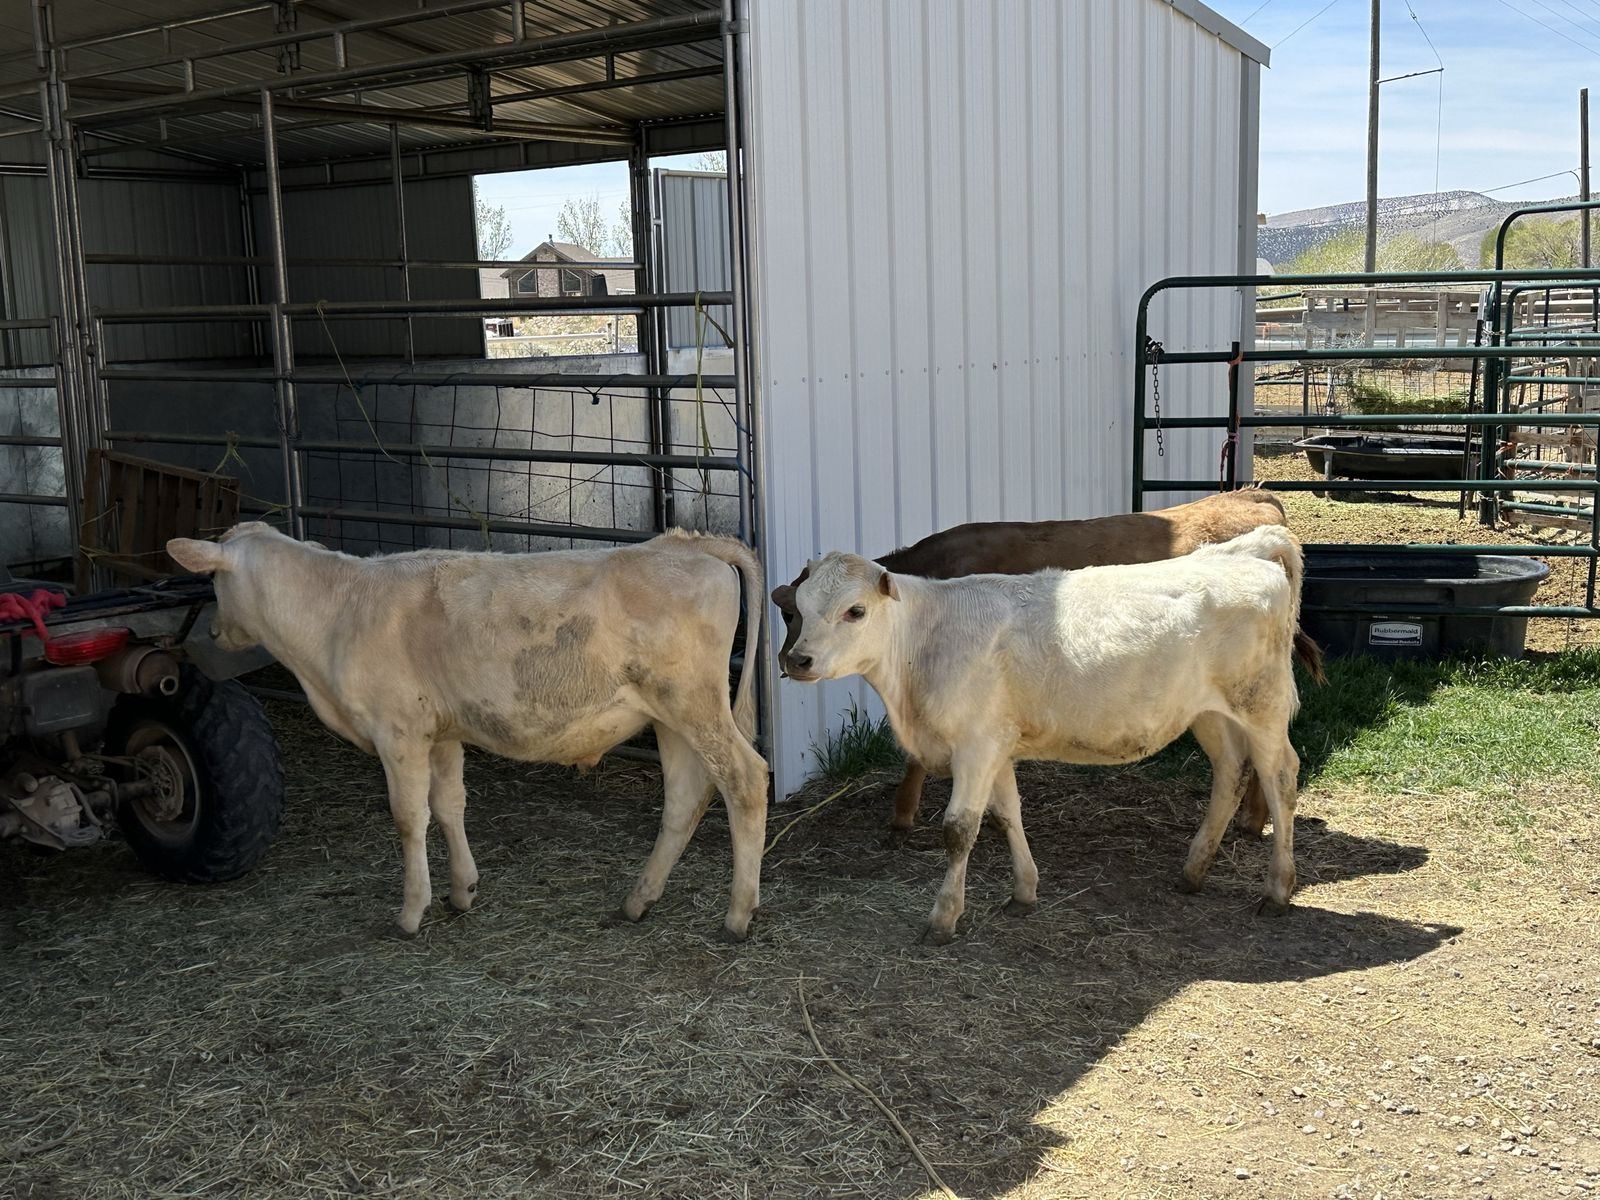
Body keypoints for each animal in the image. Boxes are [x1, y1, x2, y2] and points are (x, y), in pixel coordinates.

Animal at [166, 524, 768, 942]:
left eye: (213, 582)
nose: (212, 633)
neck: (338, 612)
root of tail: (688, 544)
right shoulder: (442, 731)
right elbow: (449, 803)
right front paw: (461, 890)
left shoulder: (398, 731)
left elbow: (409, 817)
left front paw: (411, 912)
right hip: (670, 717)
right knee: (686, 796)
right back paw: (640, 899)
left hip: (693, 703)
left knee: (745, 779)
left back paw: (738, 914)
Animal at [776, 526, 1306, 944]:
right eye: (799, 608)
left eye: (856, 611)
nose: (797, 660)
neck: (924, 645)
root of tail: (1246, 551)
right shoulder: (997, 743)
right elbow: (1007, 813)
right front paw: (1024, 892)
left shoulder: (975, 746)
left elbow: (959, 830)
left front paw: (943, 919)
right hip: (1210, 713)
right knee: (1230, 773)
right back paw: (1193, 872)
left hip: (1262, 705)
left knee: (1280, 776)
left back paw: (1277, 889)